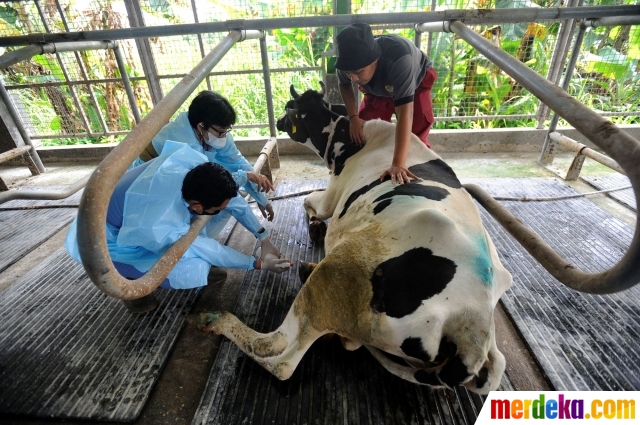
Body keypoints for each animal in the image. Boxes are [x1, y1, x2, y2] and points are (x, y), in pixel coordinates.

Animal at [192, 84, 512, 392]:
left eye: (291, 107)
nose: (280, 121)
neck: (347, 138)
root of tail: (474, 324)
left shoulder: (331, 195)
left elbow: (309, 201)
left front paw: (315, 224)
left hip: (338, 274)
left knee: (280, 356)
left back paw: (216, 319)